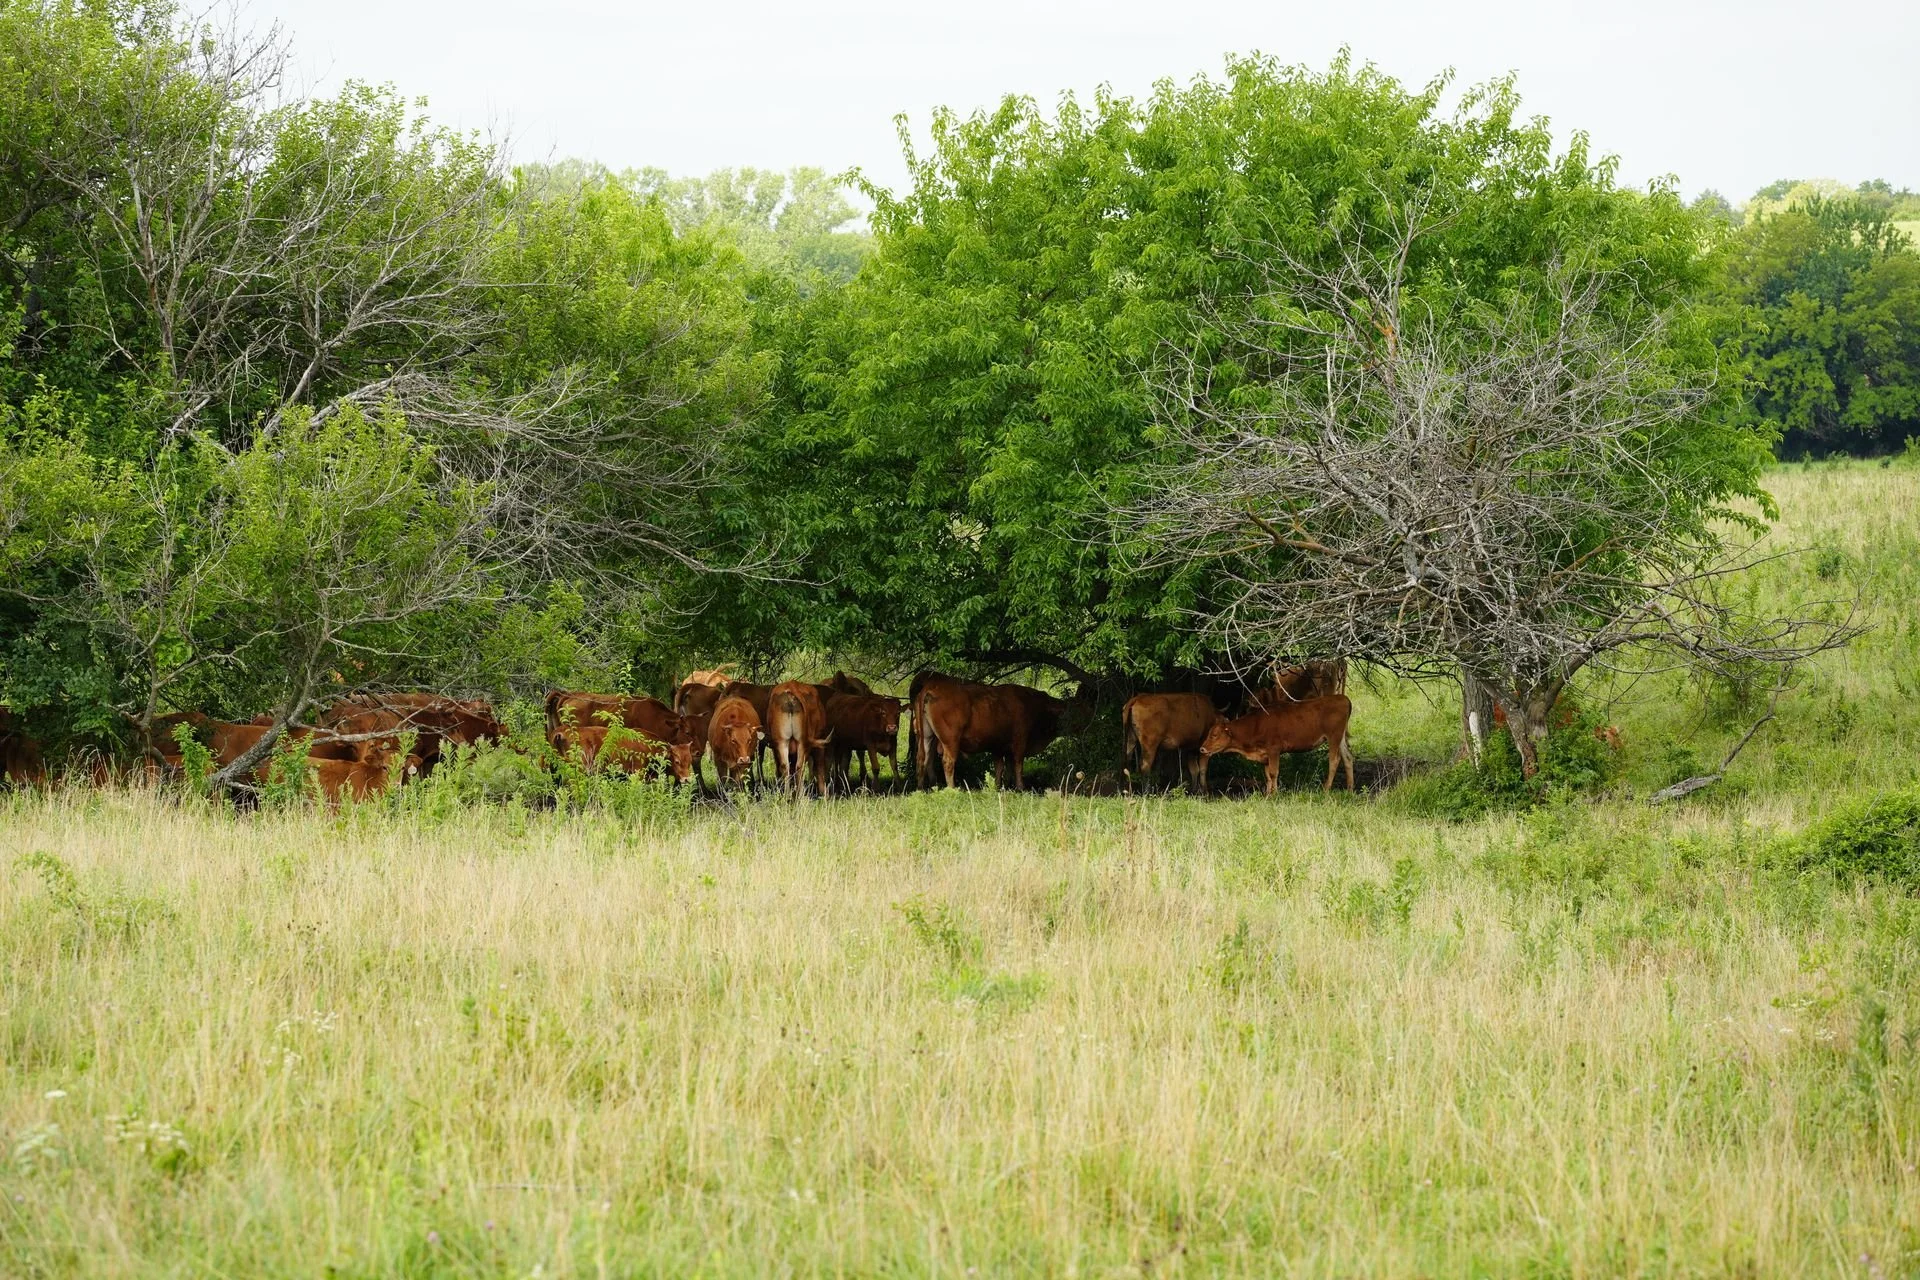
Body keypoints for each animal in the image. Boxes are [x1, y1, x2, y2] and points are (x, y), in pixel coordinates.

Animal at [920, 679, 1088, 791]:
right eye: (1076, 711)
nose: (1086, 726)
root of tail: (933, 689)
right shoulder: (1020, 741)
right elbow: (1018, 765)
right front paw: (1020, 787)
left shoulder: (999, 747)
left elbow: (1002, 768)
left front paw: (1000, 787)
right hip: (951, 741)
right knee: (948, 762)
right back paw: (952, 788)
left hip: (928, 738)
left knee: (925, 759)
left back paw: (925, 787)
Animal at [1199, 694, 1354, 795]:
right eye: (1208, 734)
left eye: (1214, 735)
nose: (1202, 749)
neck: (1256, 724)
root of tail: (1342, 698)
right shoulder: (1265, 754)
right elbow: (1268, 775)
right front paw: (1268, 794)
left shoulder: (1274, 750)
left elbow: (1274, 773)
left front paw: (1275, 794)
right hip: (1341, 738)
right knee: (1348, 758)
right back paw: (1349, 789)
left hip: (1333, 736)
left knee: (1334, 760)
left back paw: (1326, 789)